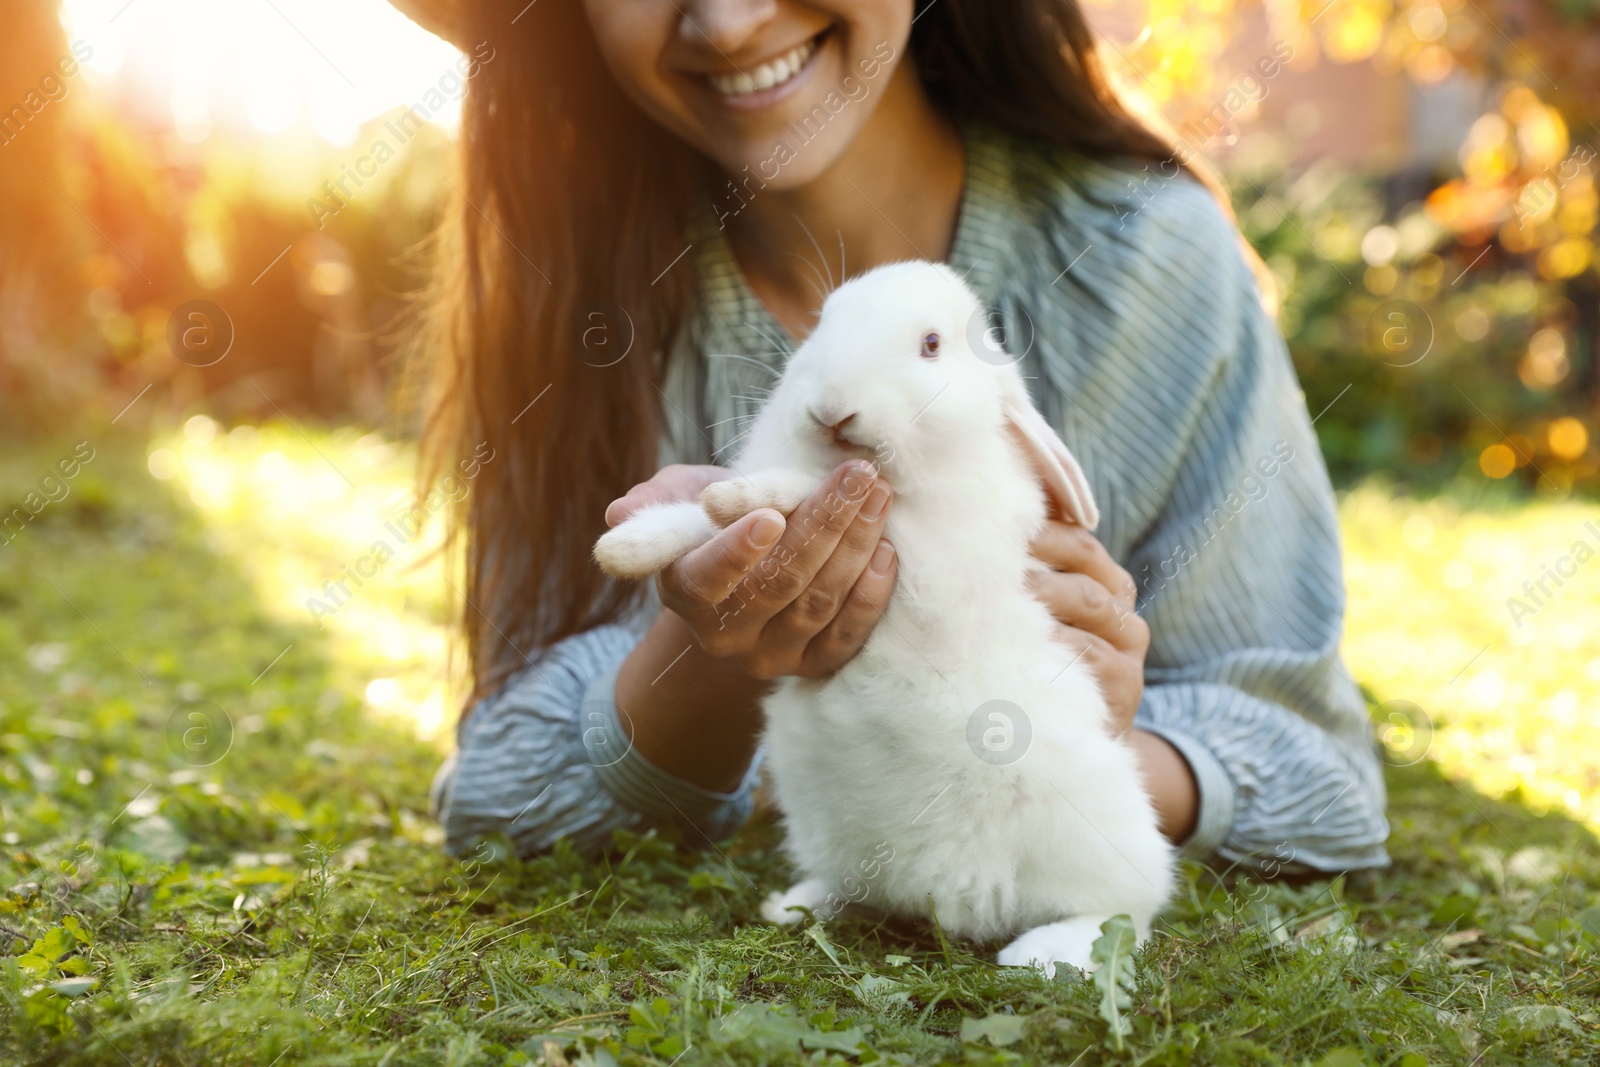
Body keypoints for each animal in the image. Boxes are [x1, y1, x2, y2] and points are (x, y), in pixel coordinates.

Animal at [595, 259, 1171, 979]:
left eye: (931, 345)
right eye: (821, 323)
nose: (831, 408)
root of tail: (952, 901)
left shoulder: (924, 549)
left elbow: (815, 494)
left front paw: (743, 495)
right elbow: (705, 520)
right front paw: (627, 545)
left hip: (1105, 836)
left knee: (1126, 911)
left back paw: (1045, 952)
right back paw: (798, 903)